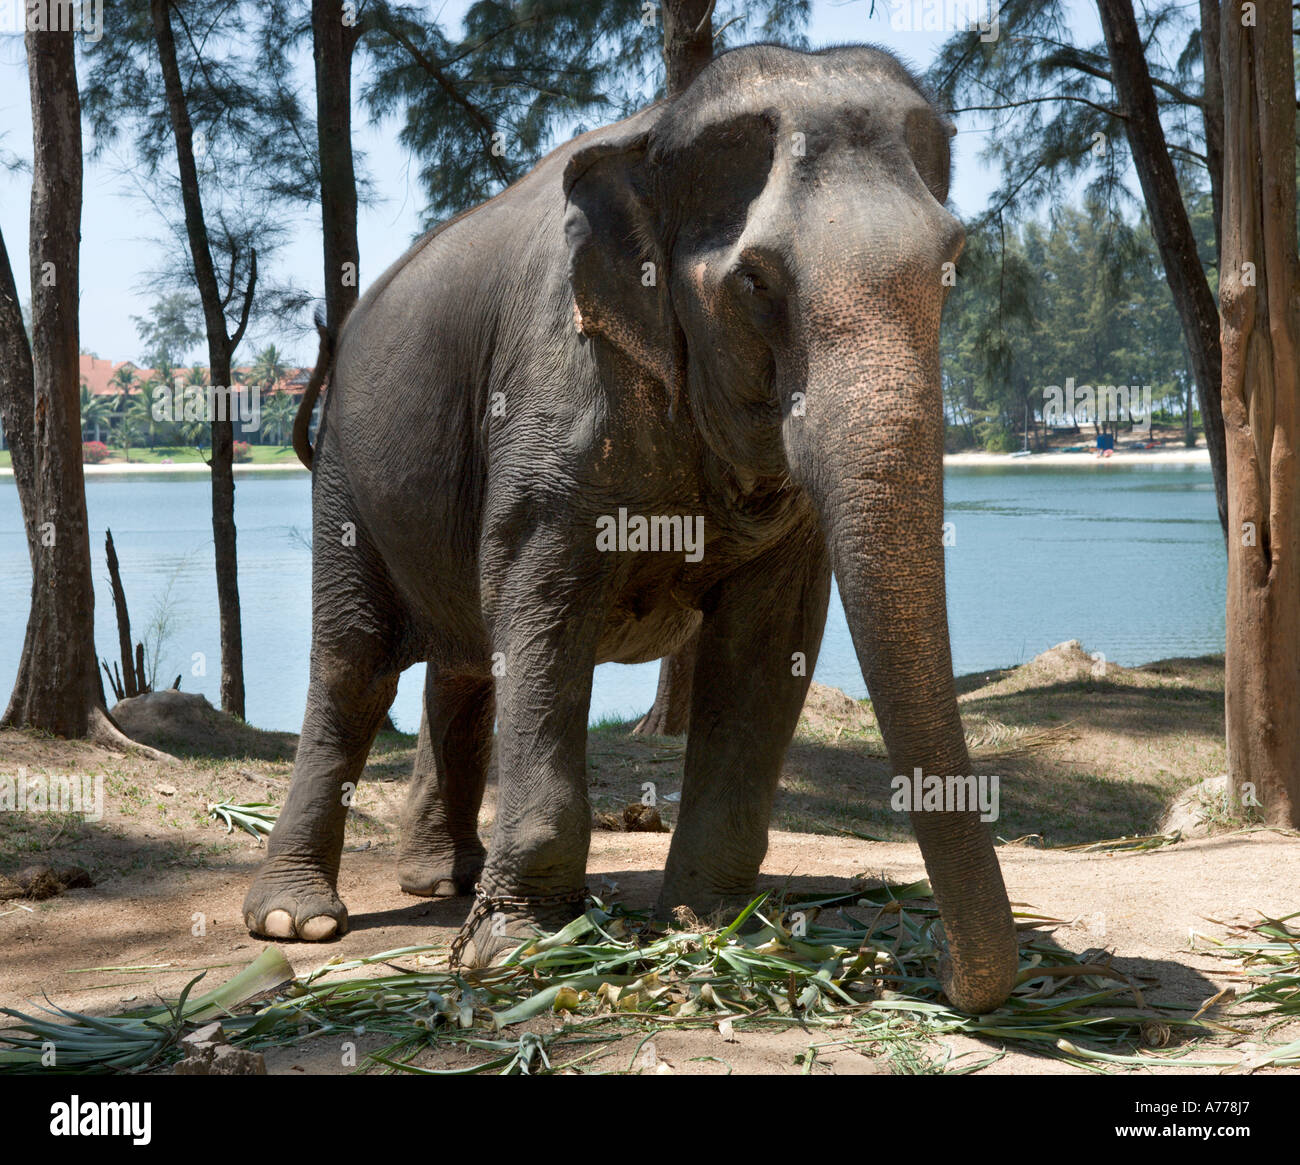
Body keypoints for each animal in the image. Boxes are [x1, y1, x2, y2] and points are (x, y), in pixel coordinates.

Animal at [241, 43, 1013, 1008]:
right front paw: (521, 953)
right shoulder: (555, 398)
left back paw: (445, 877)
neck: (661, 130)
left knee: (463, 661)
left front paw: (717, 931)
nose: (935, 964)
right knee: (354, 662)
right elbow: (542, 611)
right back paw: (296, 919)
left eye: (955, 261)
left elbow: (769, 640)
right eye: (755, 281)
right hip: (348, 474)